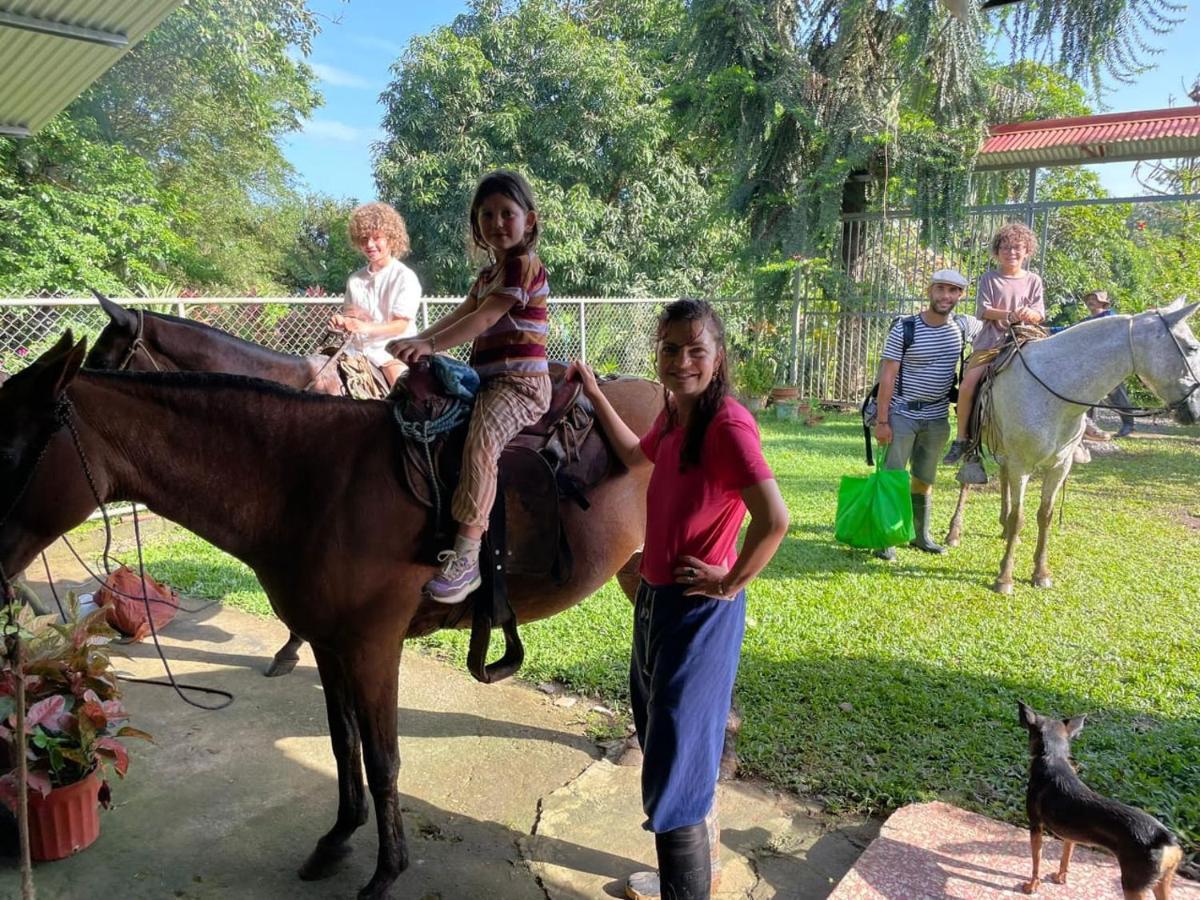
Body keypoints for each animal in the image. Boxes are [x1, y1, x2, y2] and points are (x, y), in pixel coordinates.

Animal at [2, 336, 657, 897]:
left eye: (7, 449)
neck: (314, 487)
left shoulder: (372, 647)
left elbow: (384, 759)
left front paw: (386, 872)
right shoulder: (329, 643)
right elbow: (346, 746)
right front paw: (338, 838)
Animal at [945, 300, 1200, 595]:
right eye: (1192, 347)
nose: (1195, 410)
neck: (1053, 391)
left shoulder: (1059, 466)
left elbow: (1045, 515)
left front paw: (1040, 573)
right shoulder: (1023, 464)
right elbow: (1021, 517)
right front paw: (1004, 578)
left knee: (1004, 475)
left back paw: (1004, 528)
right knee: (968, 479)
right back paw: (954, 532)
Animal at [1022, 710, 1180, 897]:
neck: (1053, 757)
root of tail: (1164, 837)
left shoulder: (1035, 826)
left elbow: (1036, 861)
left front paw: (1032, 885)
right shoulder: (1070, 835)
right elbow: (1066, 857)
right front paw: (1061, 877)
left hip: (1132, 885)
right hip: (1162, 881)